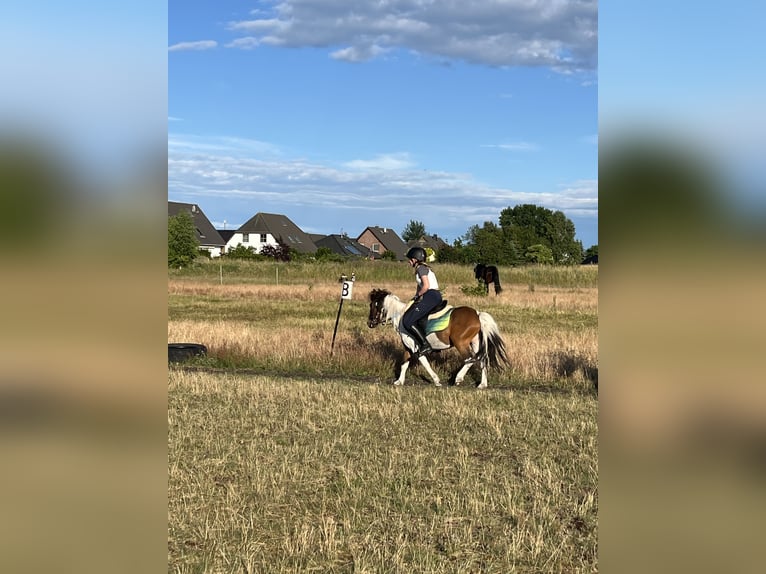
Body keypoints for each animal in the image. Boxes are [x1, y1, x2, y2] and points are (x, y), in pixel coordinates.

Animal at [370, 290, 510, 390]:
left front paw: (436, 381)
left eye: (374, 305)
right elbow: (404, 363)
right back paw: (482, 384)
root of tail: (477, 314)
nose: (370, 323)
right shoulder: (408, 347)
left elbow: (424, 363)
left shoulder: (416, 348)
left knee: (470, 358)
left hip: (460, 343)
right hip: (475, 343)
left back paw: (458, 378)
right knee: (481, 359)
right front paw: (399, 381)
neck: (401, 316)